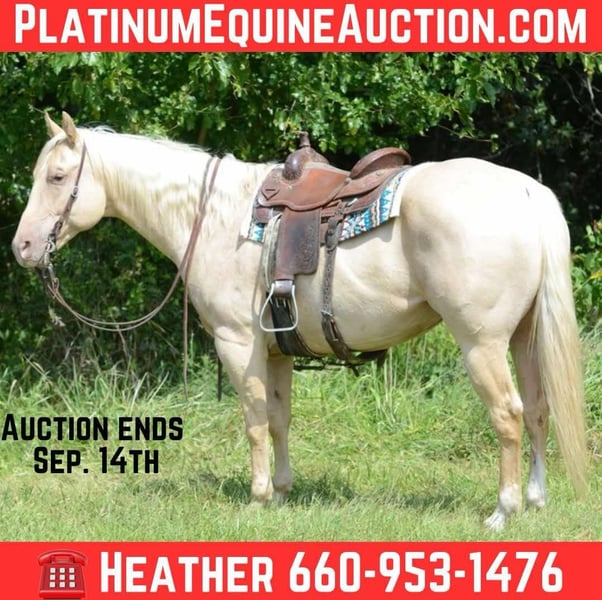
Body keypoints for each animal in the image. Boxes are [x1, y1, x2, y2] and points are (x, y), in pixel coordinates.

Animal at [12, 111, 588, 530]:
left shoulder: (238, 344)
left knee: (509, 415)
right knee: (538, 409)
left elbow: (253, 421)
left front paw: (257, 498)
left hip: (481, 343)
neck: (215, 217)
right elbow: (280, 419)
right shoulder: (277, 349)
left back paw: (503, 511)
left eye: (58, 177)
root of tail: (525, 192)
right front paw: (283, 493)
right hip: (523, 336)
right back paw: (535, 499)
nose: (22, 247)